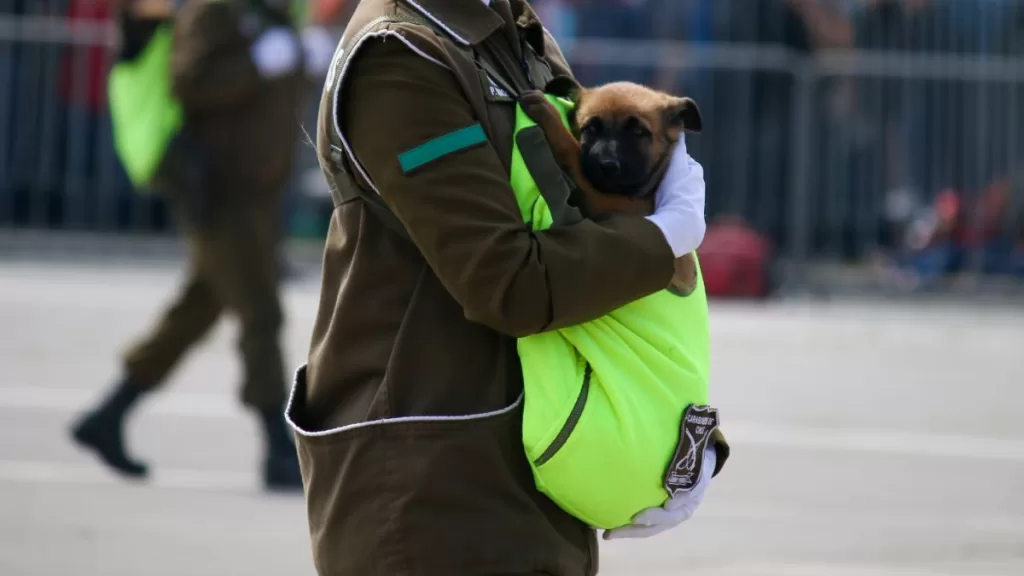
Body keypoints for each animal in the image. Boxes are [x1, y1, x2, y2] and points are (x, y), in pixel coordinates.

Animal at [520, 76, 704, 295]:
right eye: (590, 128)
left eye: (638, 131)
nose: (607, 165)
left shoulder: (613, 205)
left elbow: (570, 149)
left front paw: (548, 112)